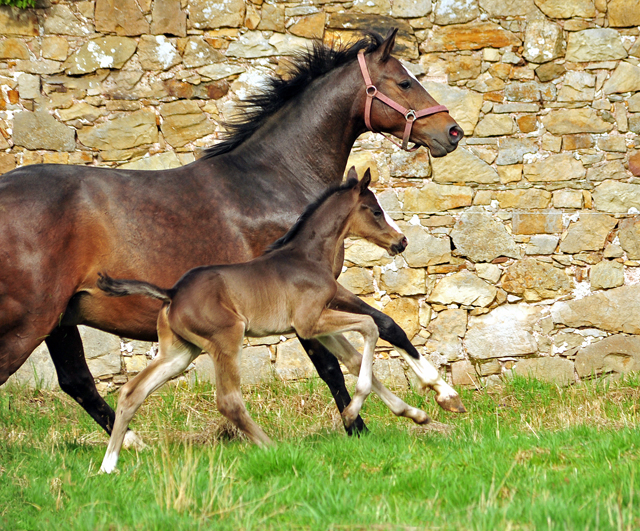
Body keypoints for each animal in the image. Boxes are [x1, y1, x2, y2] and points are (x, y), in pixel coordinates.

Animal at [99, 167, 430, 474]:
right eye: (375, 211)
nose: (401, 241)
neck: (308, 258)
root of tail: (172, 292)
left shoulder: (318, 325)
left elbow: (355, 358)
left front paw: (416, 414)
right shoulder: (309, 322)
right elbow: (370, 328)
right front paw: (351, 414)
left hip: (179, 352)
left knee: (132, 392)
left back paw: (108, 465)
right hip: (226, 339)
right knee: (229, 401)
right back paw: (273, 448)